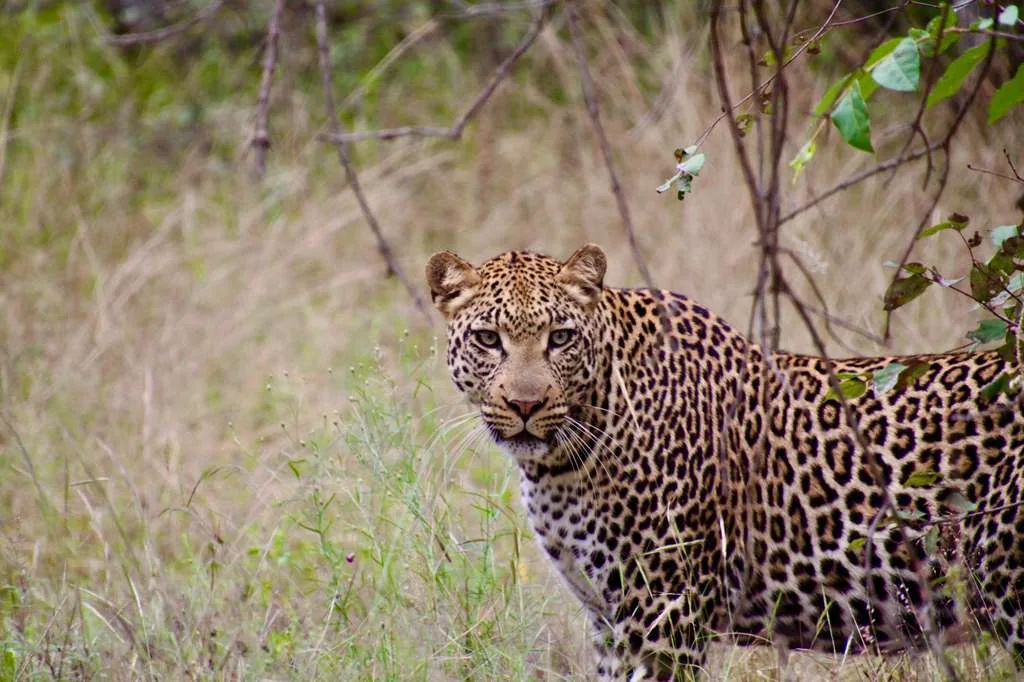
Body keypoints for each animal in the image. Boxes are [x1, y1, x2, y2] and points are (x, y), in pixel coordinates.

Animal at [425, 243, 1024, 680]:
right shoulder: (609, 619)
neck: (564, 462)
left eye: (561, 337)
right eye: (488, 339)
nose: (524, 405)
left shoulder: (664, 617)